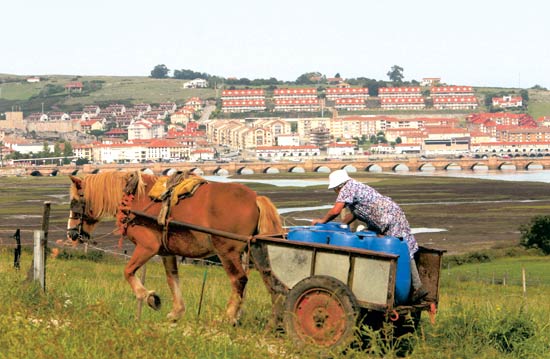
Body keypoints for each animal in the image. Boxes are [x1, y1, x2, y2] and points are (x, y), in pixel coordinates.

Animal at [68, 170, 284, 324]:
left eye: (75, 203)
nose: (71, 234)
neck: (134, 199)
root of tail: (255, 198)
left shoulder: (148, 247)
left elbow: (128, 271)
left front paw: (149, 297)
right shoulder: (167, 252)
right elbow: (172, 279)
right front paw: (176, 311)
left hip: (227, 252)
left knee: (239, 280)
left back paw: (229, 316)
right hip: (257, 250)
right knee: (271, 281)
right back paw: (275, 320)